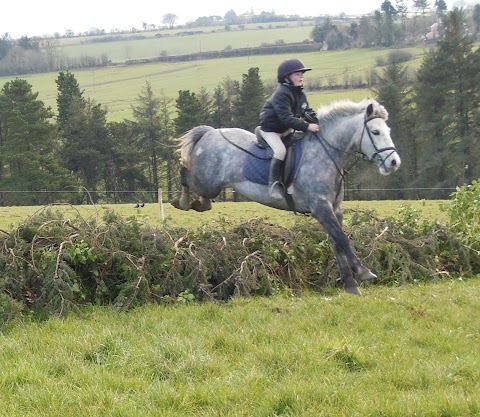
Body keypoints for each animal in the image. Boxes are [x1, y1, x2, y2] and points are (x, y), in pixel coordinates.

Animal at [172, 98, 402, 294]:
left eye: (389, 131)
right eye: (375, 132)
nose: (394, 163)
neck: (325, 153)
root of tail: (210, 133)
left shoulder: (333, 209)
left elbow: (337, 241)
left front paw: (350, 284)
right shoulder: (320, 207)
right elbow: (342, 239)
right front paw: (363, 272)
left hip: (210, 184)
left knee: (196, 189)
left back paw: (199, 204)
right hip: (207, 181)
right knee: (185, 174)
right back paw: (182, 202)